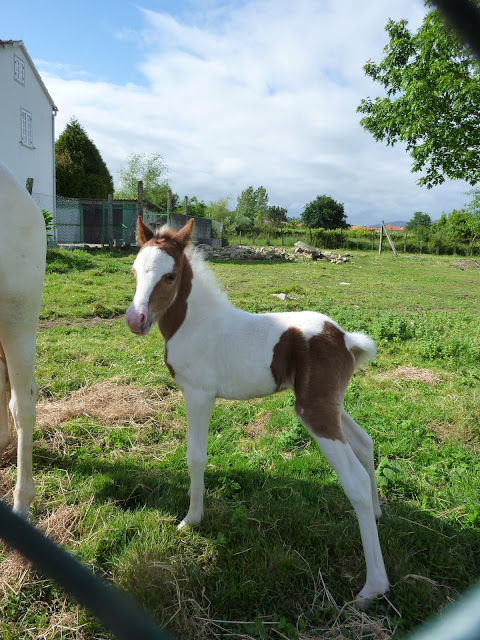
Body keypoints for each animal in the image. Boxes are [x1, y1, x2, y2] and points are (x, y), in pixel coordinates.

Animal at [125, 218, 388, 604]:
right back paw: (380, 512)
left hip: (314, 411)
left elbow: (195, 457)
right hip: (329, 405)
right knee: (365, 443)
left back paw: (373, 587)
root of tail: (343, 338)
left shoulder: (199, 394)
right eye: (133, 271)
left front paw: (192, 519)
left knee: (352, 478)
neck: (195, 323)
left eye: (170, 276)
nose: (136, 319)